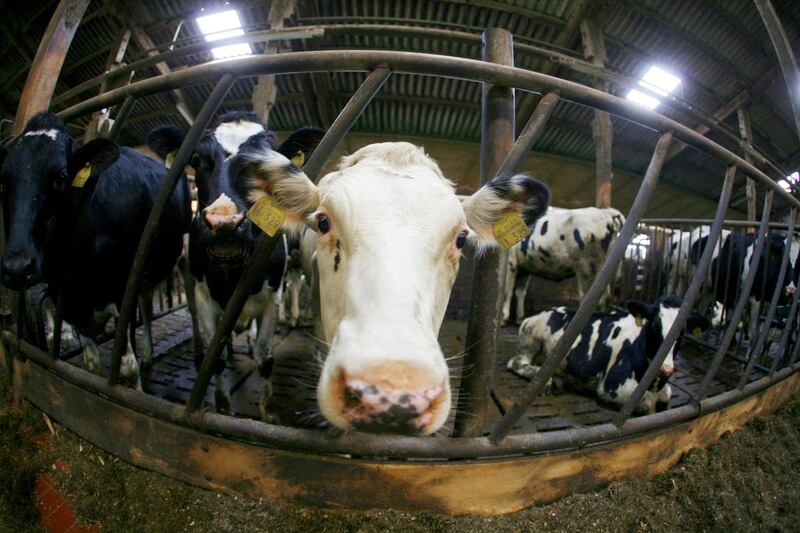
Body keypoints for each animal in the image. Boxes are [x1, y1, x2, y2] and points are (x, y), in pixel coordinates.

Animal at [0, 113, 191, 386]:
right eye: (3, 179)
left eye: (61, 175)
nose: (17, 267)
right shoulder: (68, 299)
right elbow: (91, 365)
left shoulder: (122, 292)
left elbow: (127, 368)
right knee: (146, 306)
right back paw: (147, 354)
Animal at [147, 111, 322, 420]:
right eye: (196, 159)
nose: (225, 223)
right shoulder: (204, 298)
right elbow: (213, 361)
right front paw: (223, 405)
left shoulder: (272, 297)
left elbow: (265, 359)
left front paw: (268, 410)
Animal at [510, 298, 708, 414]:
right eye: (653, 326)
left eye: (682, 333)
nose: (666, 369)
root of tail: (541, 312)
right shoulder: (611, 387)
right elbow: (645, 402)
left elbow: (666, 395)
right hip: (531, 339)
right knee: (516, 362)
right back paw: (548, 382)